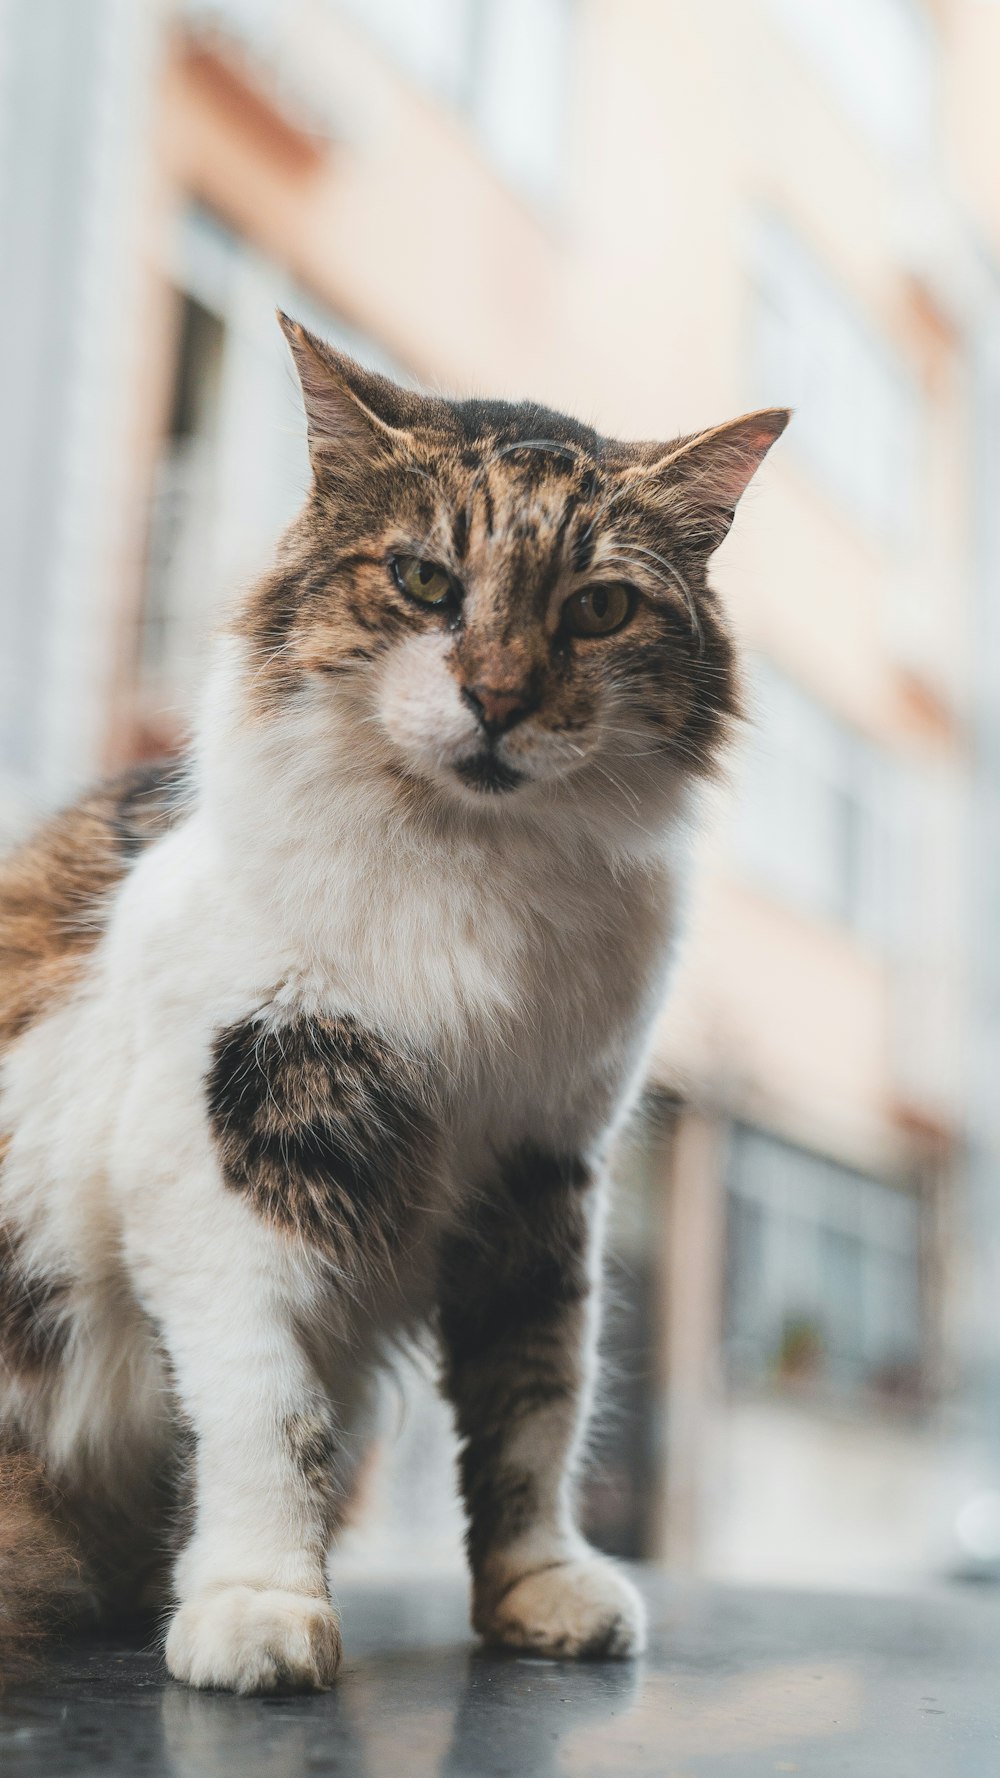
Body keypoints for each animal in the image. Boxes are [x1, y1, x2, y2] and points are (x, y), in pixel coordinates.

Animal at [0, 312, 786, 1685]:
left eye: (599, 607)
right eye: (424, 582)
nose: (500, 697)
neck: (470, 876)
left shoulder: (542, 1168)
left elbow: (535, 1402)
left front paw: (539, 1591)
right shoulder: (222, 1154)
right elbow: (269, 1405)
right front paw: (259, 1602)